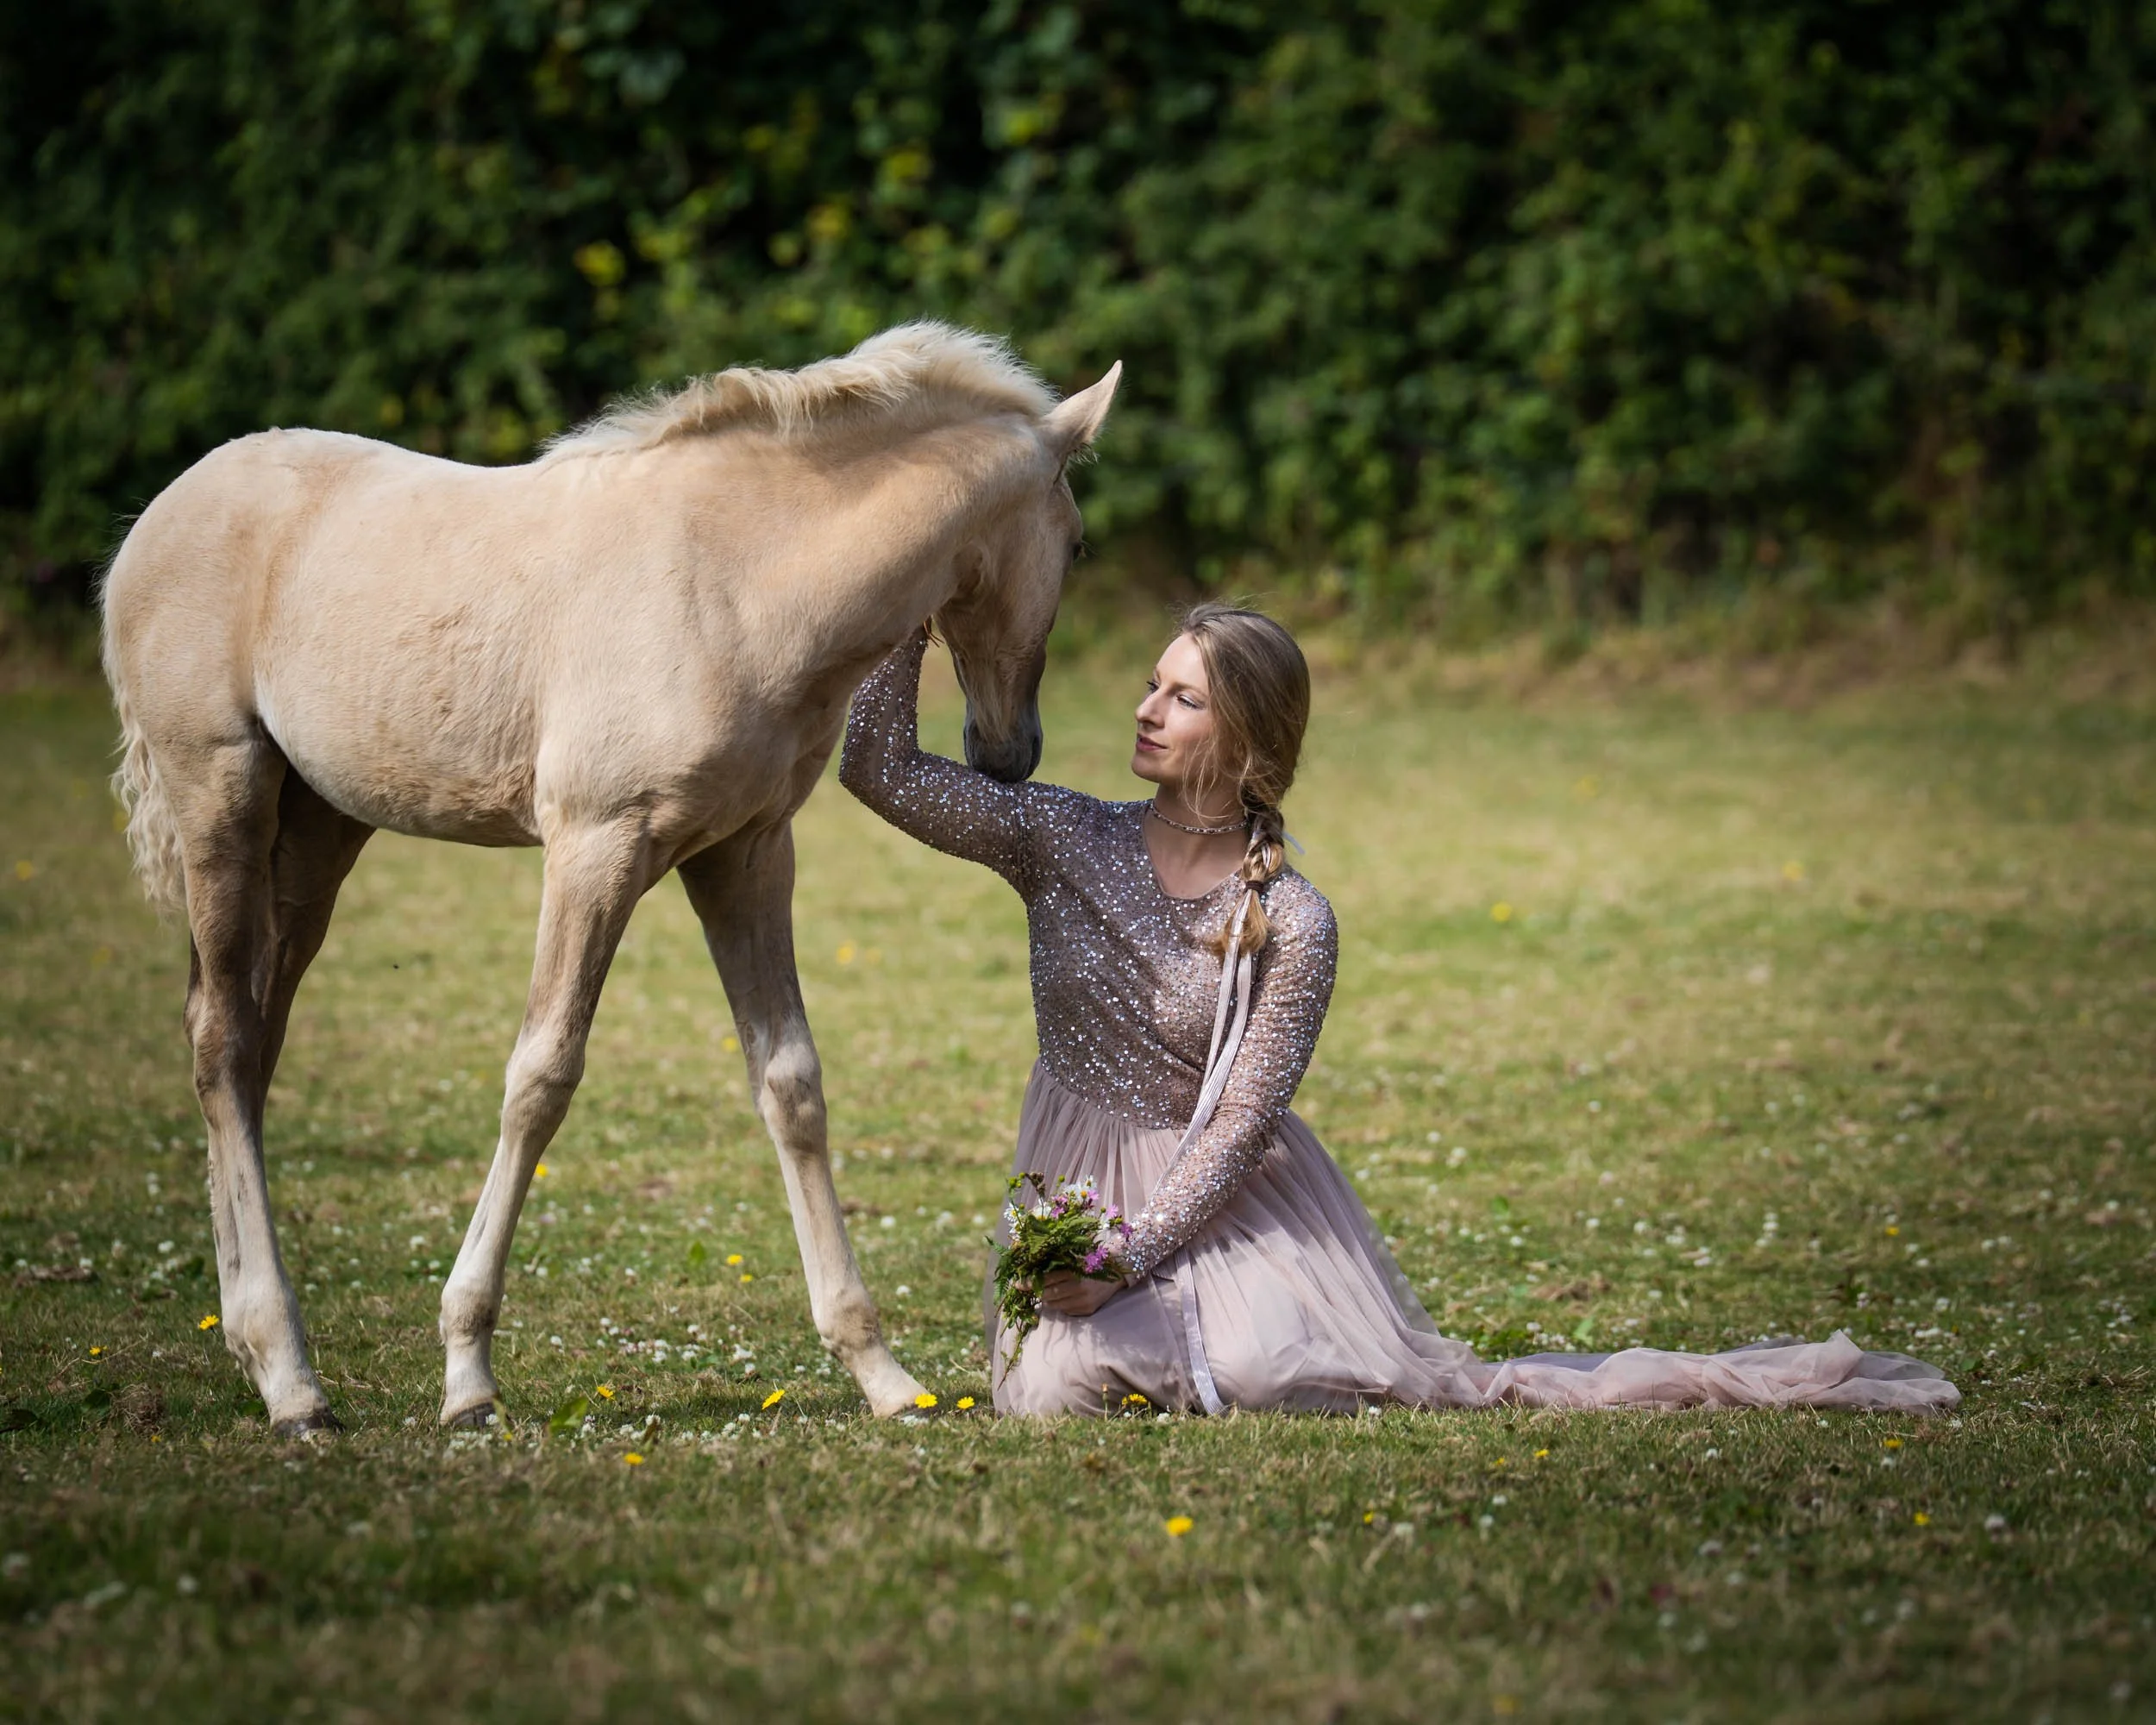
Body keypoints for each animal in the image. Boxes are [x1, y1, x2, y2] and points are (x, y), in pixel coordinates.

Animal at [99, 323, 1121, 1433]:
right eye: (1075, 544)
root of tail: (164, 510)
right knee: (223, 1040)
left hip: (319, 828)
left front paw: (881, 1372)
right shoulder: (597, 845)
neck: (738, 581)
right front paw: (468, 1373)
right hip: (222, 794)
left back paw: (258, 1351)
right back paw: (291, 1379)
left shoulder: (747, 850)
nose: (1009, 753)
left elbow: (790, 1082)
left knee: (246, 1038)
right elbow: (540, 1075)